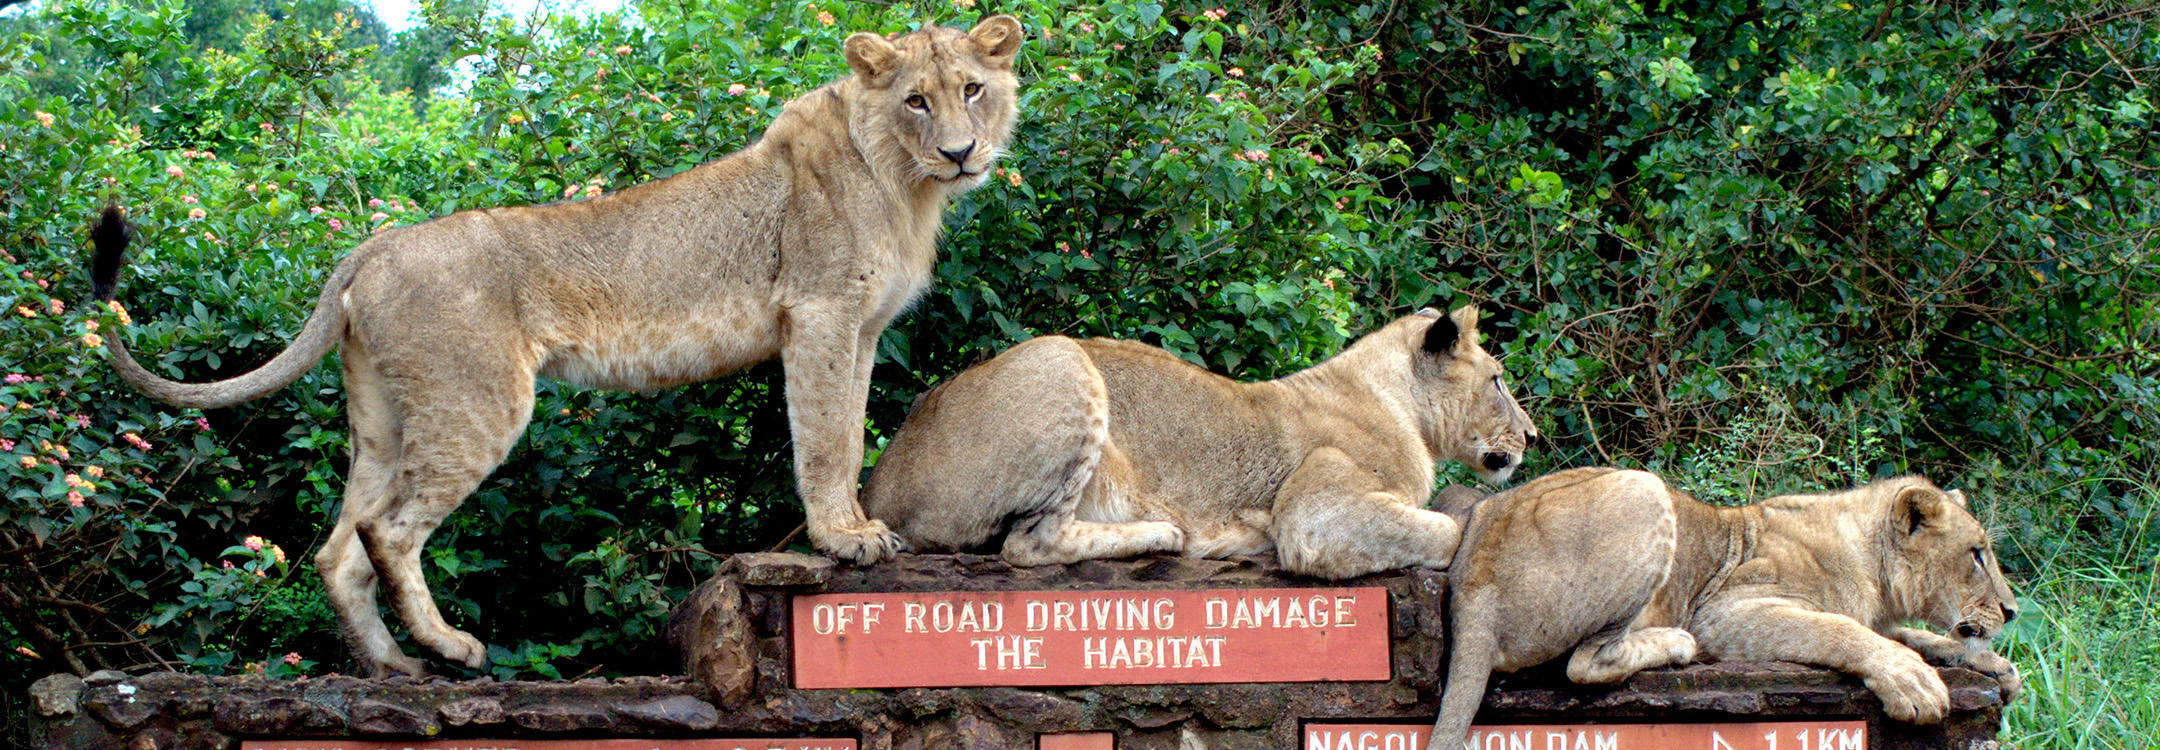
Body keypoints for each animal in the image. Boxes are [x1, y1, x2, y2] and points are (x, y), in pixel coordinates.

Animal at [88, 16, 1024, 677]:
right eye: (916, 100)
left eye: (973, 90)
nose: (961, 152)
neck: (904, 183)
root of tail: (372, 246)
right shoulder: (821, 313)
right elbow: (826, 439)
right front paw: (844, 539)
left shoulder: (860, 330)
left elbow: (853, 430)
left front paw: (859, 525)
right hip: (478, 400)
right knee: (389, 532)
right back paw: (452, 649)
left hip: (383, 414)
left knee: (338, 548)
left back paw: (392, 668)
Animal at [860, 306, 1539, 579]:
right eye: (1499, 380)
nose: (1533, 435)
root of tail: (875, 488)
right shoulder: (1317, 513)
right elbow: (1443, 529)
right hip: (1062, 358)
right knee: (1028, 544)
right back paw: (1163, 533)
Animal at [1426, 469, 2023, 750]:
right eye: (1977, 553)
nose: (2013, 611)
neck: (1873, 568)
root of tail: (1471, 579)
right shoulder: (1727, 612)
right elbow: (1839, 629)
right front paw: (1911, 682)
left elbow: (1923, 637)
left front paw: (1996, 667)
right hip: (1645, 490)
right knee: (1585, 664)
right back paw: (1674, 644)